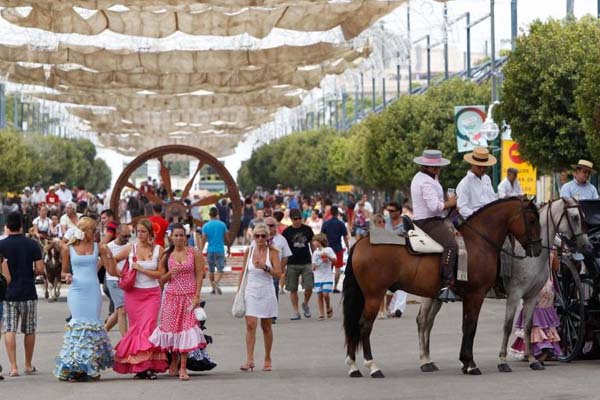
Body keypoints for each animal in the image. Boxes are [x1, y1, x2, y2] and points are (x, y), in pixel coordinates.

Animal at [342, 197, 544, 378]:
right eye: (532, 220)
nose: (538, 249)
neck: (479, 242)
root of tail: (360, 242)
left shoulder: (469, 296)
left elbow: (465, 326)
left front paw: (465, 362)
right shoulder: (476, 294)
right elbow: (471, 326)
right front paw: (471, 364)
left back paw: (353, 367)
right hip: (374, 295)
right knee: (365, 325)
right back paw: (373, 367)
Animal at [496, 198, 592, 372]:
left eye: (583, 215)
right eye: (574, 217)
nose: (588, 246)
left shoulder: (532, 295)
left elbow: (528, 326)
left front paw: (532, 359)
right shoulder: (514, 294)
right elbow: (508, 325)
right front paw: (502, 360)